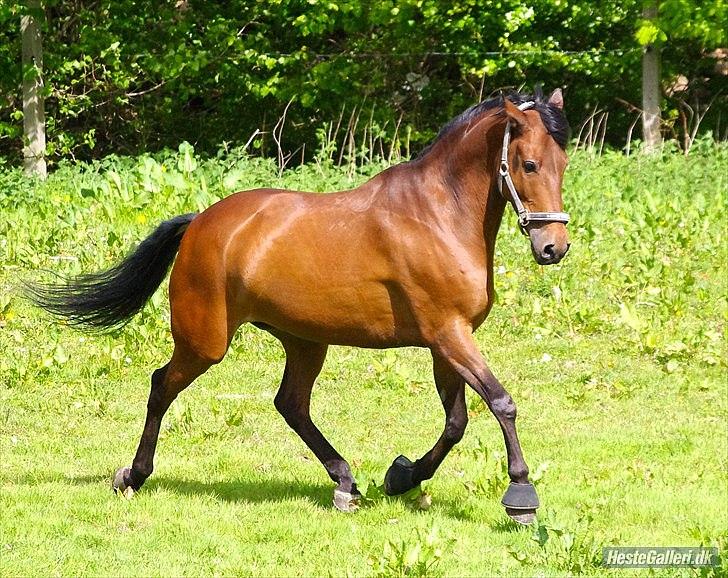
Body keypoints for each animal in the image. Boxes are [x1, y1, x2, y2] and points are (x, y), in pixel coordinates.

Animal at [31, 86, 572, 520]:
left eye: (562, 165)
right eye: (528, 165)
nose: (554, 248)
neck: (439, 216)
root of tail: (201, 221)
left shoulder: (448, 341)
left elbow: (456, 422)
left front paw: (401, 476)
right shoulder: (448, 334)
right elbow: (500, 402)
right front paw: (521, 495)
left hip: (304, 340)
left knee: (291, 404)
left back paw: (346, 482)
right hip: (205, 342)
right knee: (162, 386)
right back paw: (134, 475)